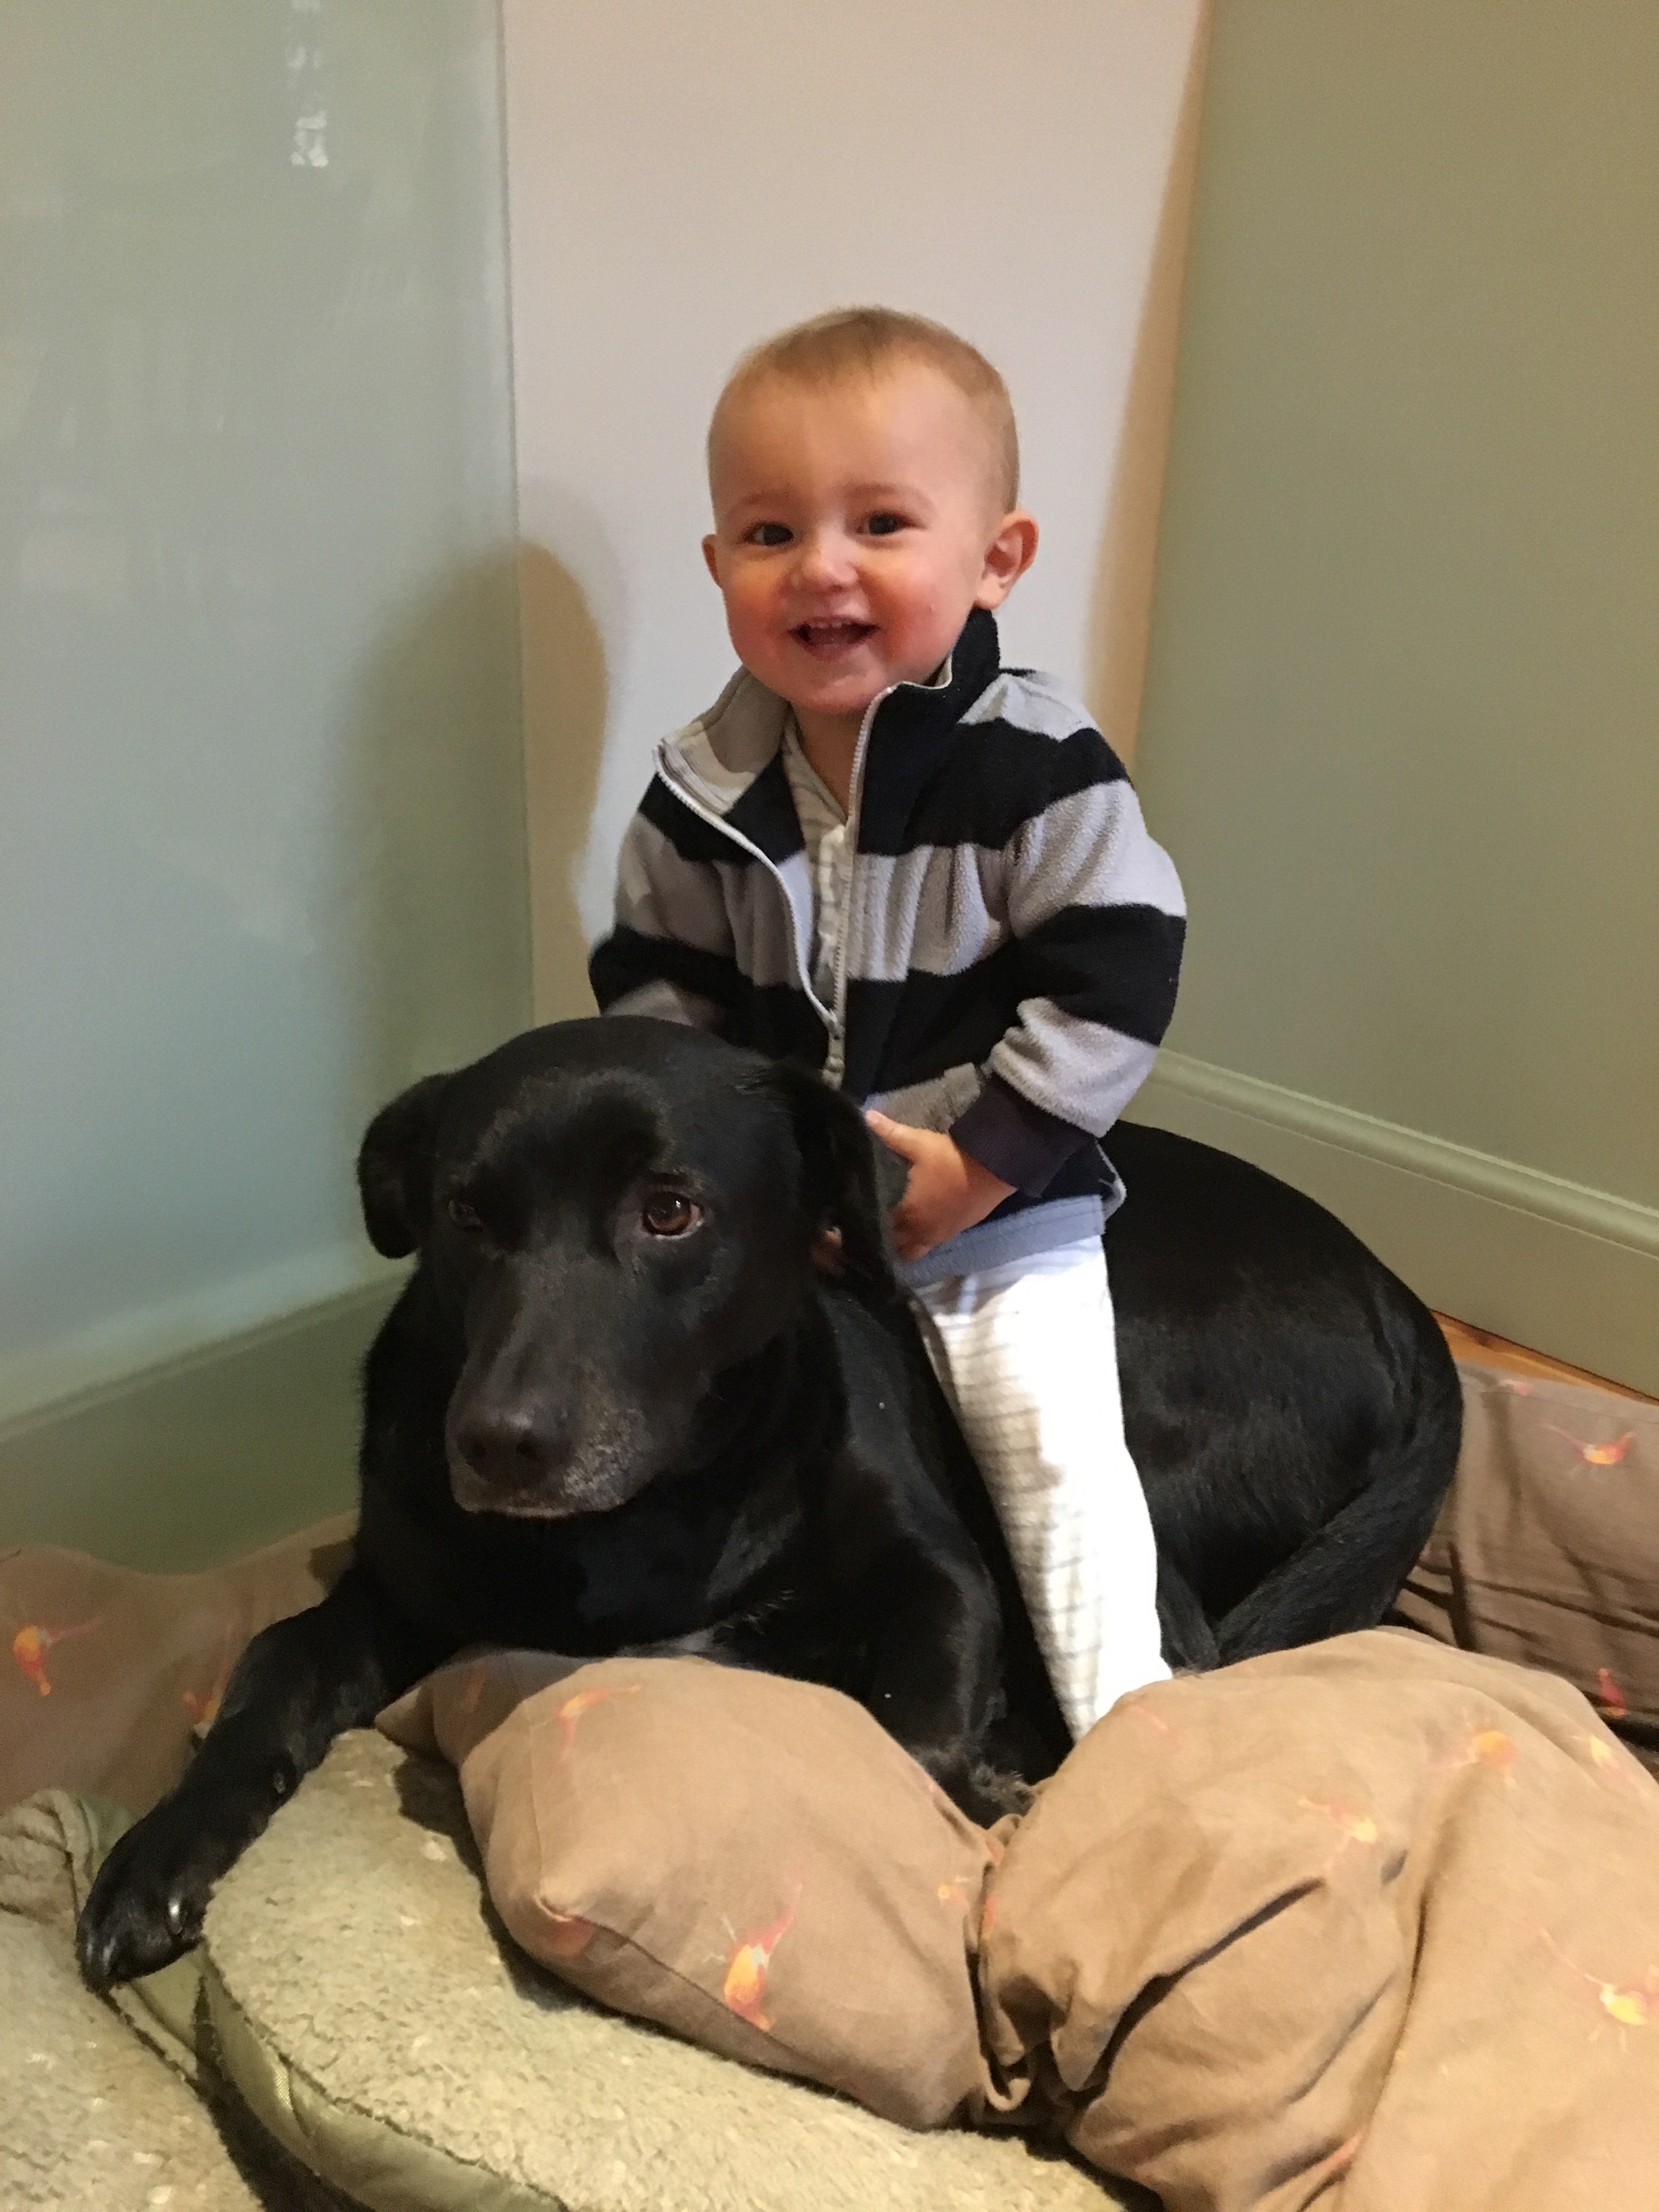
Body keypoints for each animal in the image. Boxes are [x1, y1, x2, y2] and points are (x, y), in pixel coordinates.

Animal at [78, 1017, 1461, 1989]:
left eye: (670, 1212)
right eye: (466, 1213)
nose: (499, 1444)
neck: (646, 1515)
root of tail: (1408, 1305)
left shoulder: (940, 1578)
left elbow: (900, 1739)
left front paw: (960, 1781)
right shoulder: (395, 1589)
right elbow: (274, 1663)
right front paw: (157, 1857)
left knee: (1169, 1650)